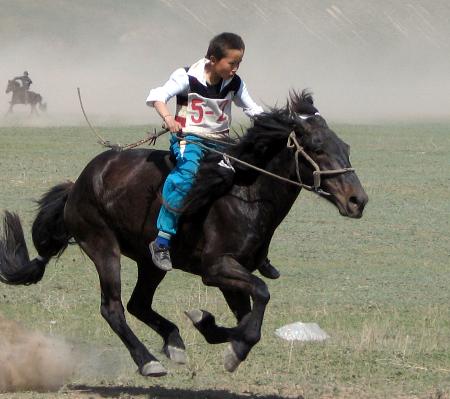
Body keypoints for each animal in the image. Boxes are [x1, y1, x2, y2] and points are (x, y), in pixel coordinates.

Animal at [0, 90, 368, 378]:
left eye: (346, 145)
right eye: (317, 147)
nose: (358, 200)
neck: (244, 193)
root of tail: (77, 185)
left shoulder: (234, 275)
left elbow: (246, 319)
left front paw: (209, 326)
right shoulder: (216, 269)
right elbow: (261, 296)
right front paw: (230, 345)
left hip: (150, 263)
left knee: (137, 304)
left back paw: (174, 341)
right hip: (103, 247)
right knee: (113, 308)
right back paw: (148, 361)